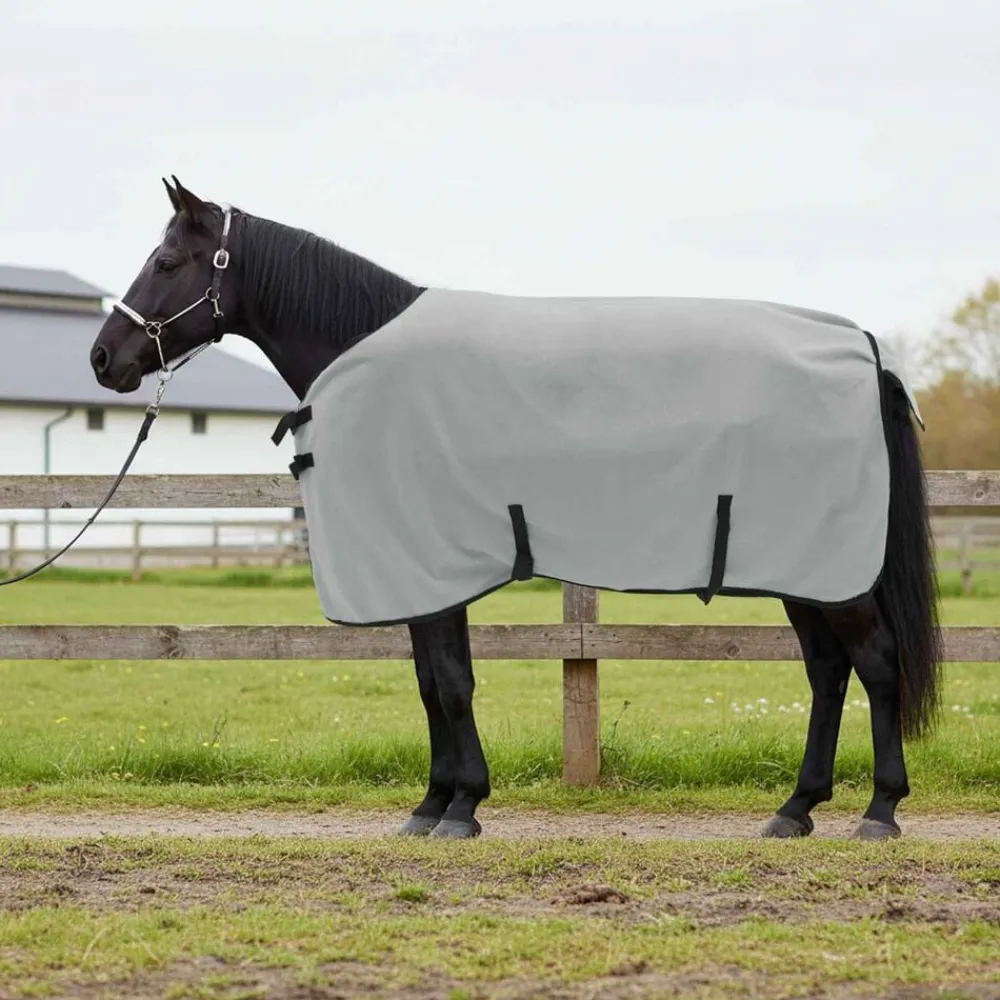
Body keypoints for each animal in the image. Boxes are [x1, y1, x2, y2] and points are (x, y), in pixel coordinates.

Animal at [90, 177, 942, 841]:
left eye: (166, 261)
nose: (104, 358)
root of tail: (864, 353)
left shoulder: (432, 569)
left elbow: (451, 683)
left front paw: (461, 807)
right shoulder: (421, 574)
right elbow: (432, 681)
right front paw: (434, 803)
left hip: (832, 572)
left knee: (876, 663)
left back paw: (880, 811)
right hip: (805, 569)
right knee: (828, 672)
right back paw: (796, 809)